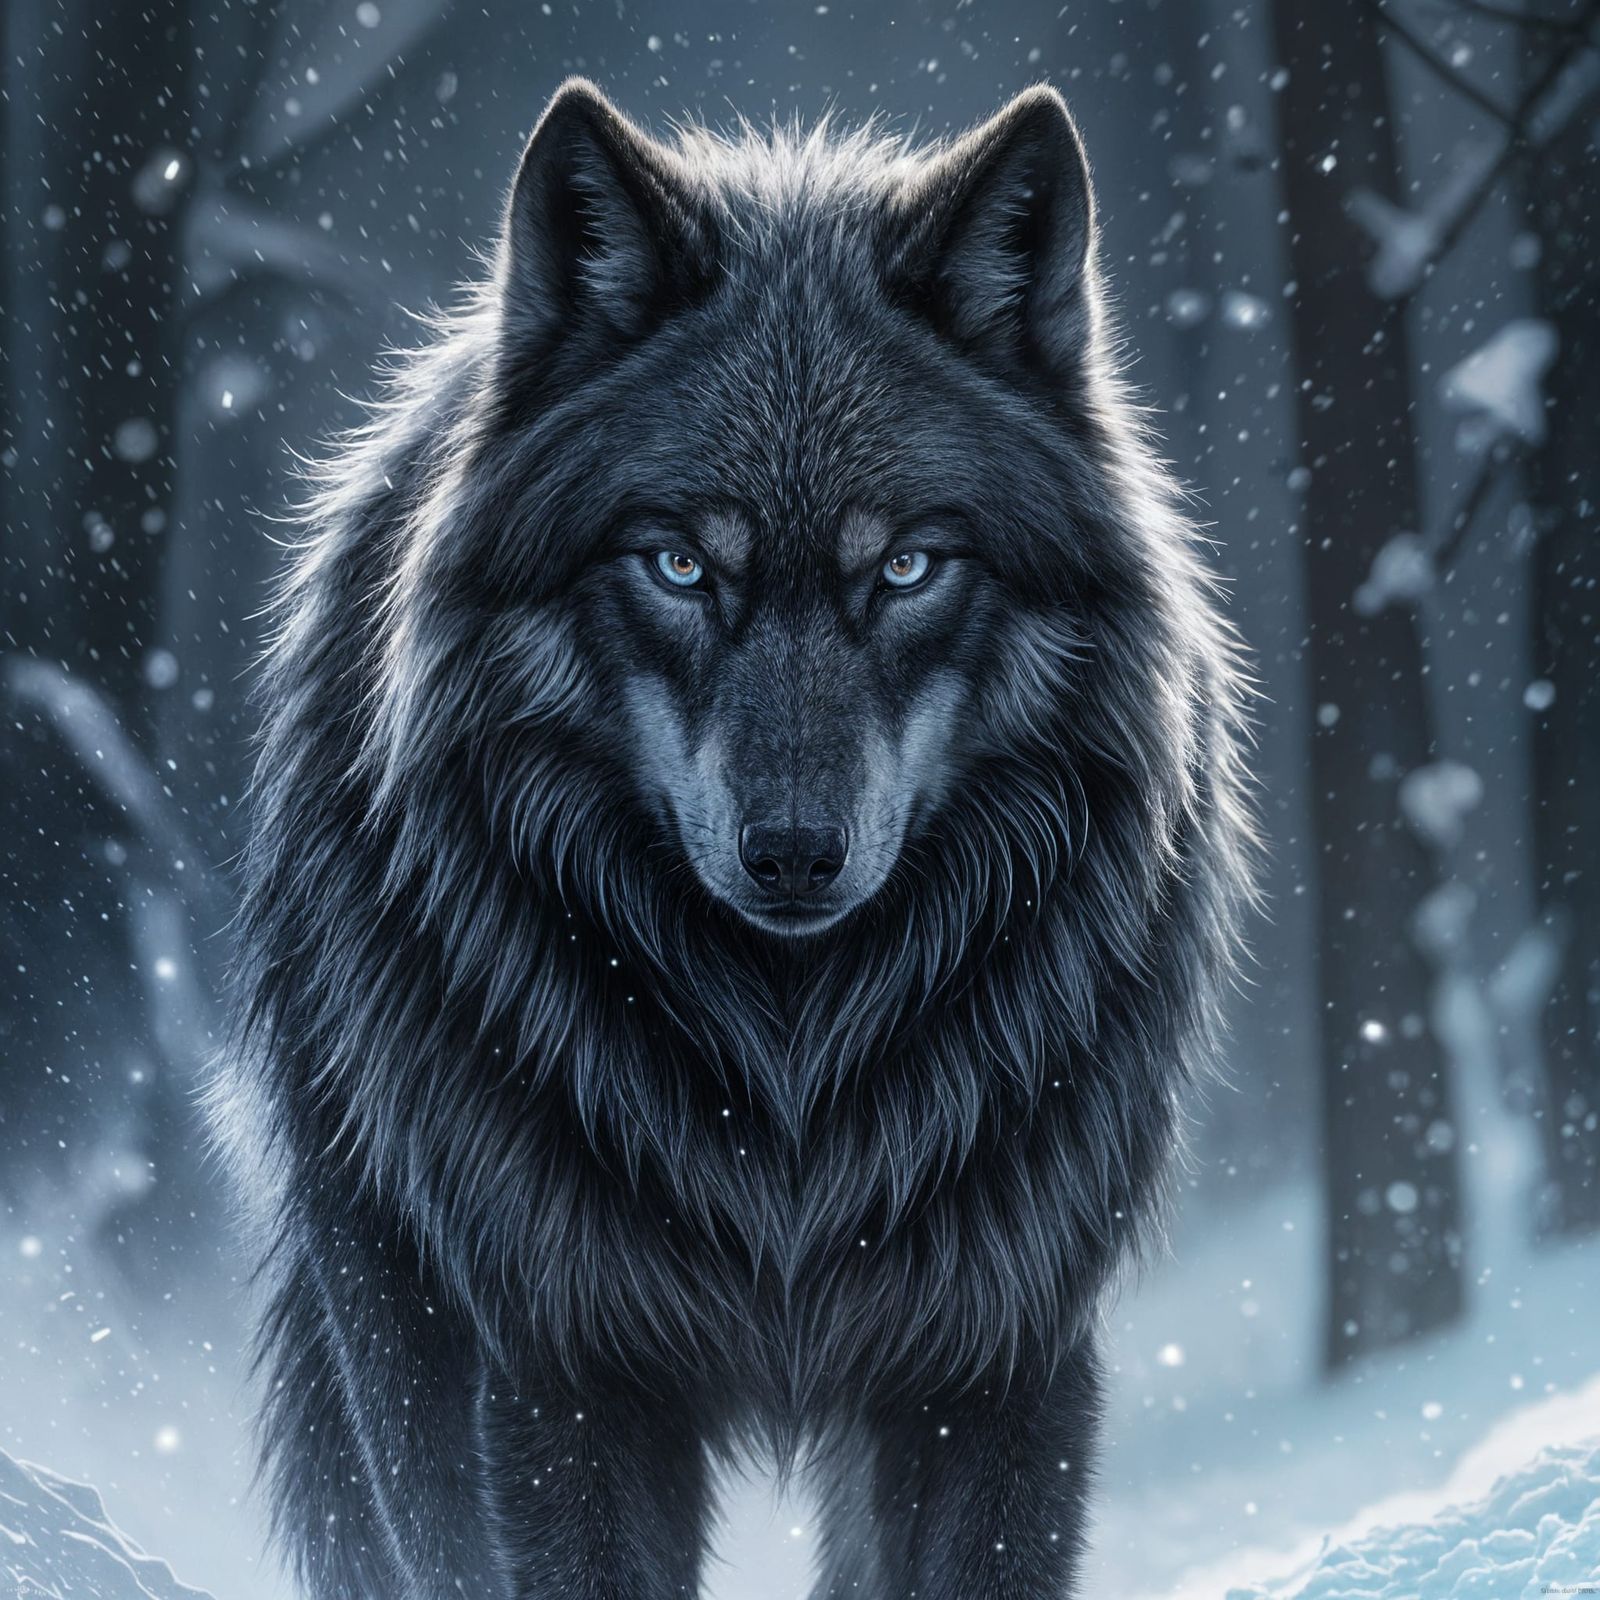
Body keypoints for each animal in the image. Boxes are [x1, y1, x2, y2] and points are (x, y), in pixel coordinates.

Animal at [212, 78, 1255, 1599]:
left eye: (907, 566)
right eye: (680, 564)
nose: (795, 855)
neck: (787, 1075)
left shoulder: (998, 1354)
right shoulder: (563, 1368)